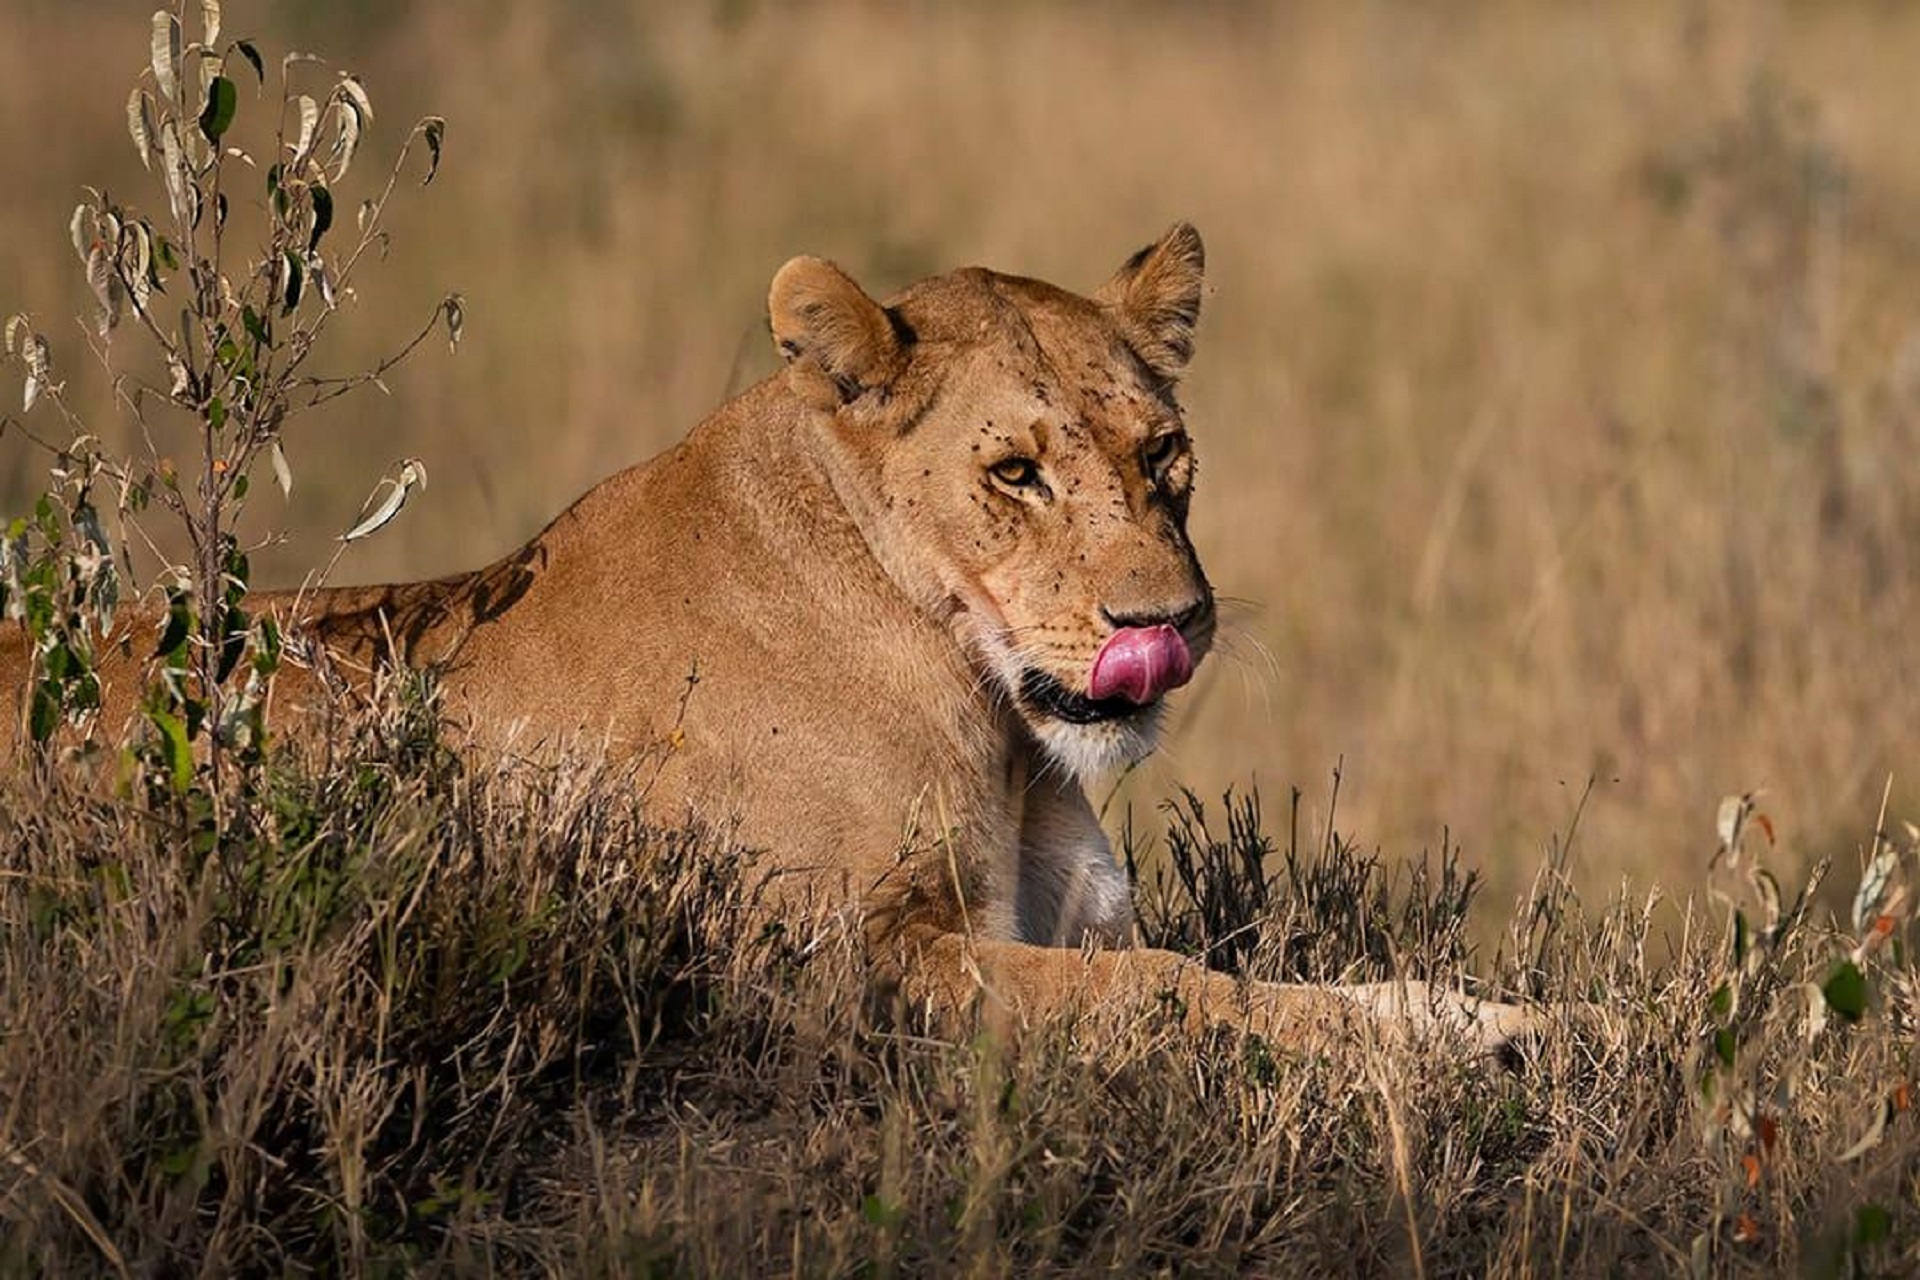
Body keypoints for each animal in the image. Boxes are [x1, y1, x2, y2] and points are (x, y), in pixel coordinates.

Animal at [2, 225, 1537, 1051]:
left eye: (1162, 454)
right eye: (1016, 473)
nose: (1167, 624)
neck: (996, 718)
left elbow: (1259, 981)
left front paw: (1491, 1023)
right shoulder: (840, 958)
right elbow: (1183, 997)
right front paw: (1475, 1047)